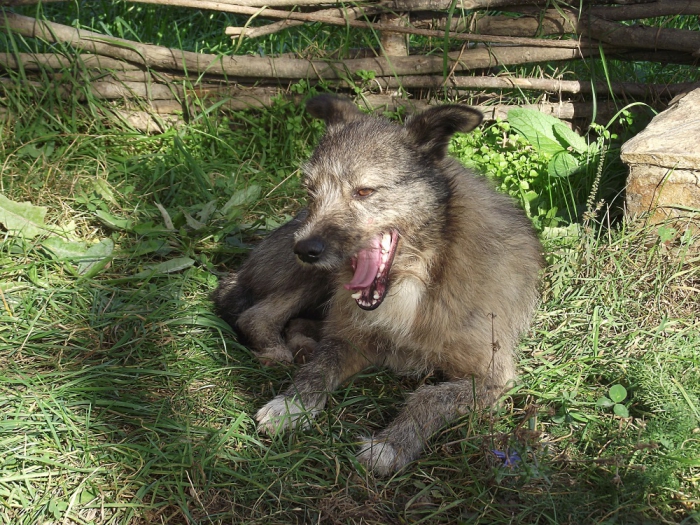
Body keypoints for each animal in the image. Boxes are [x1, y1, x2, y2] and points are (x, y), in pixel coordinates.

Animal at [213, 95, 540, 474]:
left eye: (365, 191)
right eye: (310, 191)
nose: (305, 249)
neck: (419, 274)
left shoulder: (493, 377)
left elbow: (430, 396)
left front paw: (391, 444)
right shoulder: (351, 336)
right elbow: (321, 366)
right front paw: (293, 404)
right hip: (314, 277)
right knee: (255, 315)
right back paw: (277, 349)